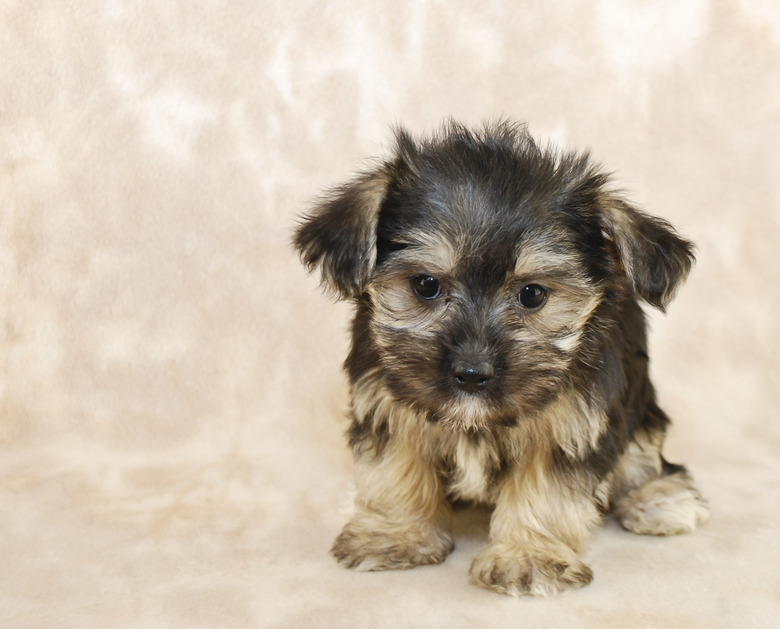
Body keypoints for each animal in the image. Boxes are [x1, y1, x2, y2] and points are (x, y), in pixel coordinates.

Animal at [292, 121, 708, 592]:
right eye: (425, 285)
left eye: (532, 294)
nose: (472, 374)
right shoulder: (386, 401)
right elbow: (395, 466)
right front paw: (395, 534)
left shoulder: (571, 425)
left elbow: (545, 489)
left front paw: (528, 556)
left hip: (641, 411)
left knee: (647, 456)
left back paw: (659, 500)